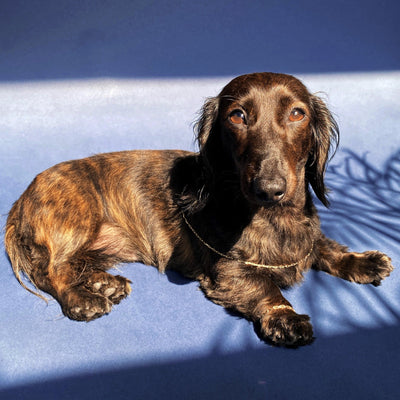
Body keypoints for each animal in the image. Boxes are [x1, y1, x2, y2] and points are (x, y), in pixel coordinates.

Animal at [5, 72, 394, 346]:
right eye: (237, 116)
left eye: (298, 113)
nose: (270, 189)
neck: (272, 217)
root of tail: (21, 197)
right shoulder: (228, 271)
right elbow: (265, 287)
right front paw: (286, 317)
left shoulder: (308, 238)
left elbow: (325, 248)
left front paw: (364, 261)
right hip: (77, 219)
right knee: (51, 271)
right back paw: (82, 299)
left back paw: (104, 283)